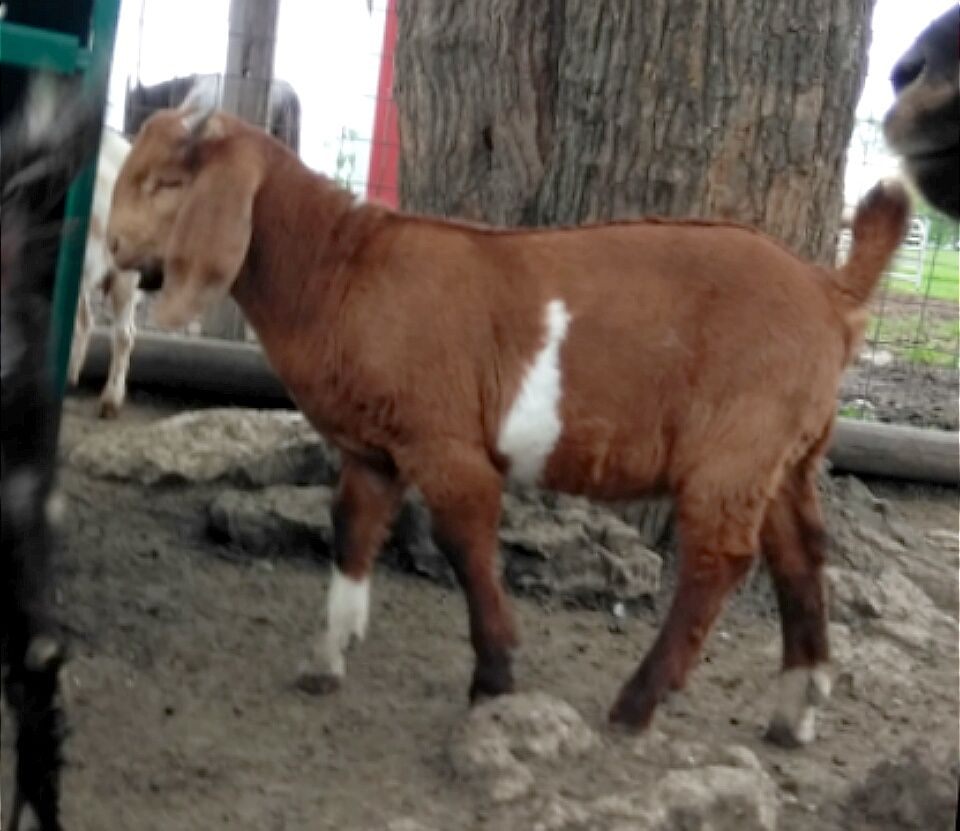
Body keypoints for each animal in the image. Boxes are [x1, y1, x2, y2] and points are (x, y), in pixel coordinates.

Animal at [105, 90, 909, 747]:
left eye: (168, 183)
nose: (111, 246)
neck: (342, 269)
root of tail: (830, 289)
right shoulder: (373, 447)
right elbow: (352, 528)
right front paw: (327, 656)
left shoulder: (441, 436)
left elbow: (463, 539)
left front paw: (494, 675)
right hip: (787, 452)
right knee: (800, 553)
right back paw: (796, 706)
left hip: (737, 441)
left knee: (721, 559)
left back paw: (637, 704)